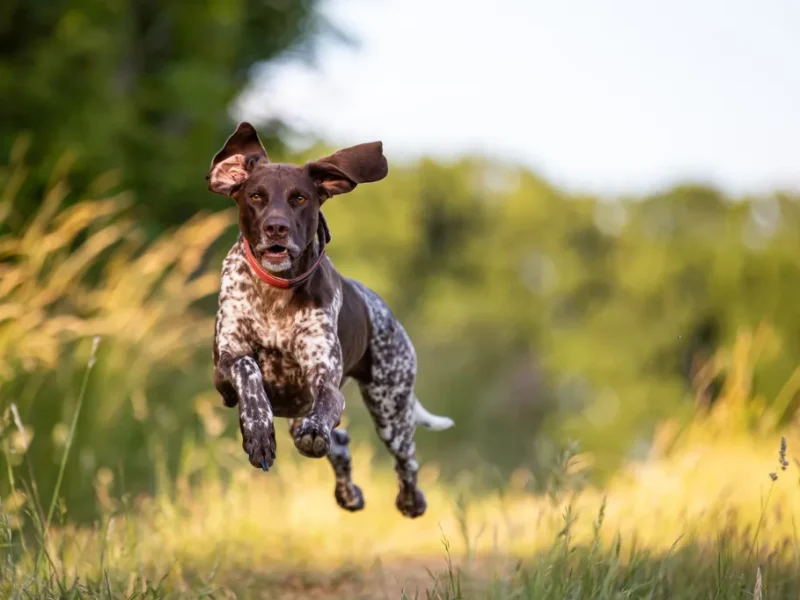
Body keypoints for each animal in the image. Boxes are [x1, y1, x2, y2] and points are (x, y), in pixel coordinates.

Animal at [208, 120, 456, 516]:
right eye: (256, 196)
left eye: (300, 198)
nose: (276, 228)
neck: (275, 294)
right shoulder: (225, 370)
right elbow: (248, 371)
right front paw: (258, 431)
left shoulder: (324, 378)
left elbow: (327, 403)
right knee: (339, 443)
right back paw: (348, 491)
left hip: (391, 407)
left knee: (404, 457)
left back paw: (409, 499)